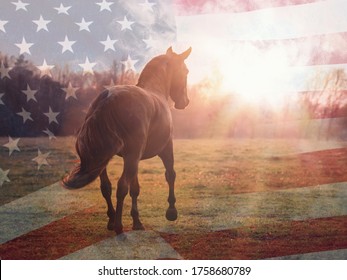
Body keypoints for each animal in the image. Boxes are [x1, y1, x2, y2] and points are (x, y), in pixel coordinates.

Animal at [62, 47, 193, 234]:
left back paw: (111, 221)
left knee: (106, 187)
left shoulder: (135, 158)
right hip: (130, 156)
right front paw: (171, 212)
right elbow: (170, 175)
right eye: (186, 71)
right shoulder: (166, 148)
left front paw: (137, 221)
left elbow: (135, 188)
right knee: (121, 186)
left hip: (104, 158)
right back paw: (118, 226)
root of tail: (107, 98)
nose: (185, 102)